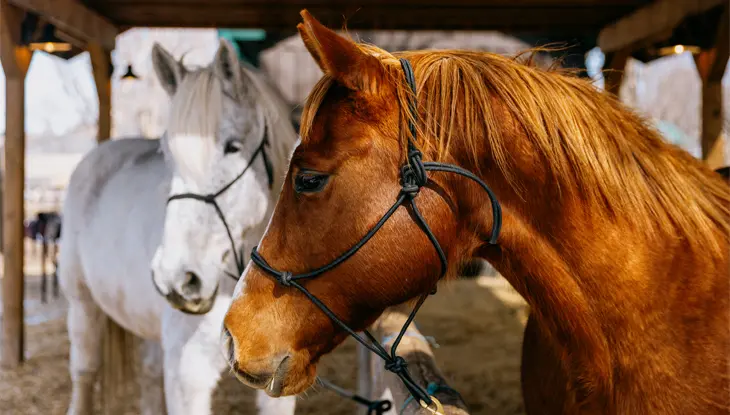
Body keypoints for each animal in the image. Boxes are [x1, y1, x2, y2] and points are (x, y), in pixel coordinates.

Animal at [59, 39, 298, 415]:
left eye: (233, 147)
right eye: (168, 155)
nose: (177, 280)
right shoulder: (188, 375)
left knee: (147, 374)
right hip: (82, 306)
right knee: (84, 371)